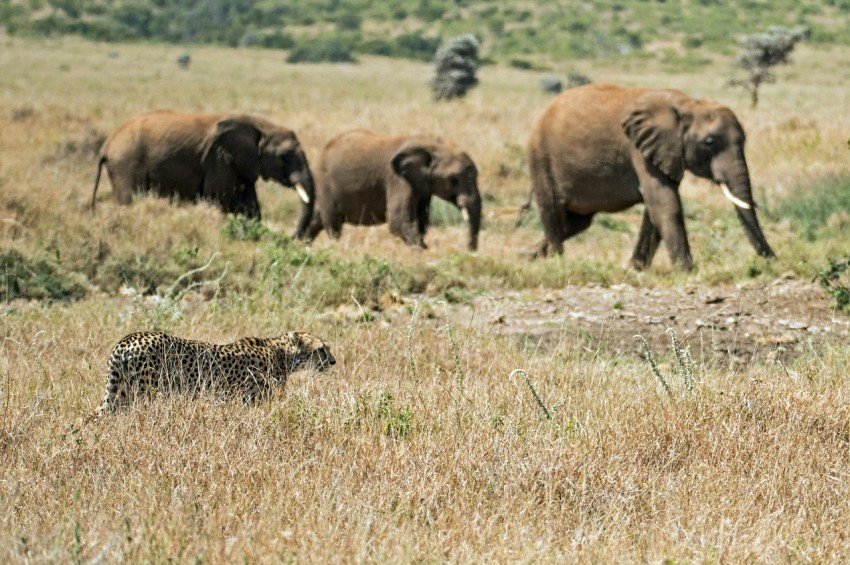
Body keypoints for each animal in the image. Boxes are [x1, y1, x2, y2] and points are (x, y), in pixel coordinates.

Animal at [91, 110, 316, 237]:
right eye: (285, 157)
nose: (292, 236)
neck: (260, 126)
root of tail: (106, 145)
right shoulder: (220, 160)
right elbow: (217, 200)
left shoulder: (240, 165)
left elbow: (251, 208)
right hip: (126, 164)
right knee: (127, 199)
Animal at [304, 130, 481, 250]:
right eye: (453, 180)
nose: (469, 250)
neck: (433, 145)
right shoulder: (397, 180)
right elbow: (398, 222)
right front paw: (425, 251)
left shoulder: (421, 185)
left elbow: (422, 220)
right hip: (324, 183)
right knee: (333, 224)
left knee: (316, 220)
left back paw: (302, 246)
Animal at [526, 83, 776, 271]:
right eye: (709, 142)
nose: (773, 260)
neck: (687, 106)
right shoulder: (639, 149)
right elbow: (665, 203)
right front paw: (687, 270)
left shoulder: (666, 152)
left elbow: (656, 208)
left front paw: (636, 268)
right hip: (541, 156)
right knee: (553, 212)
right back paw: (557, 262)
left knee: (575, 223)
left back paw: (530, 256)